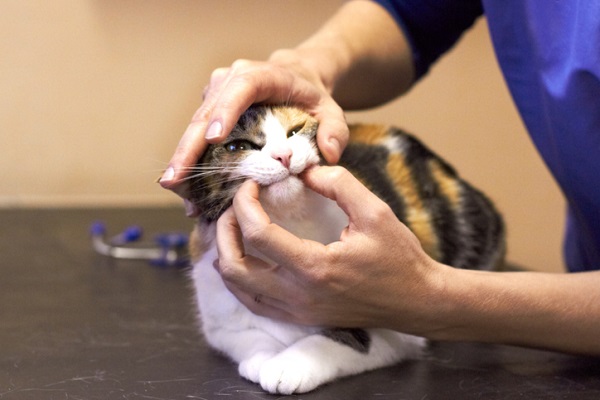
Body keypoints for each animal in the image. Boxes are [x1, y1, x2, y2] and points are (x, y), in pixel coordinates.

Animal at [185, 104, 504, 394]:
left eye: (295, 131)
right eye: (238, 146)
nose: (284, 155)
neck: (290, 224)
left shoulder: (399, 328)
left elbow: (343, 338)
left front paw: (289, 364)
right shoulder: (218, 317)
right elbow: (249, 337)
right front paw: (263, 358)